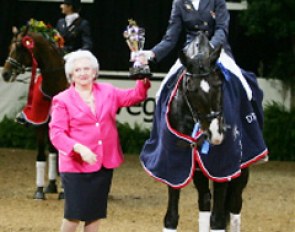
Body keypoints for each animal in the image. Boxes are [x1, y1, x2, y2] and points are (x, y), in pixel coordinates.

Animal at [1, 25, 68, 199]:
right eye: (9, 47)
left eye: (20, 48)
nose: (5, 74)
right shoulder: (40, 122)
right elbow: (41, 156)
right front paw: (39, 191)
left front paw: (64, 193)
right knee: (52, 152)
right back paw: (51, 185)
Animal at [141, 31, 268, 232]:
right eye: (190, 88)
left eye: (219, 84)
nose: (216, 134)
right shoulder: (175, 164)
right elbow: (171, 217)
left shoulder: (222, 165)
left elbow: (218, 220)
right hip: (199, 169)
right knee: (205, 200)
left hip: (244, 166)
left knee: (235, 204)